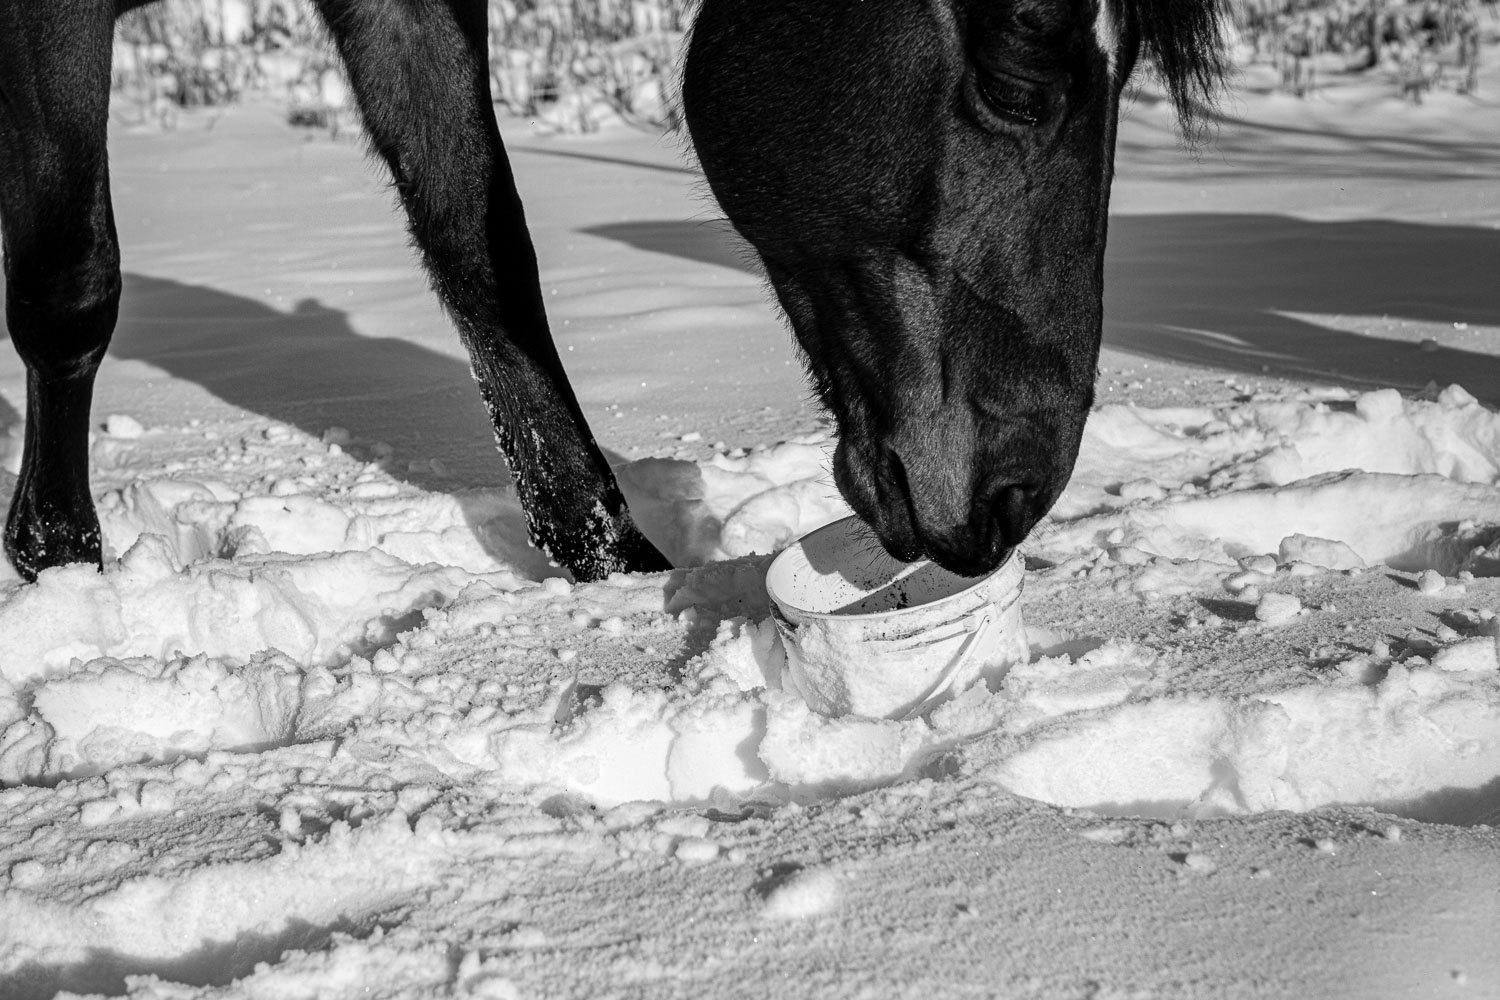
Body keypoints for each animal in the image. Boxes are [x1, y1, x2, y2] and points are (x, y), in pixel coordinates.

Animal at [0, 0, 1218, 587]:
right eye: (1017, 76)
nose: (1017, 499)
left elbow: (485, 250)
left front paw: (612, 567)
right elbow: (69, 286)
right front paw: (58, 564)